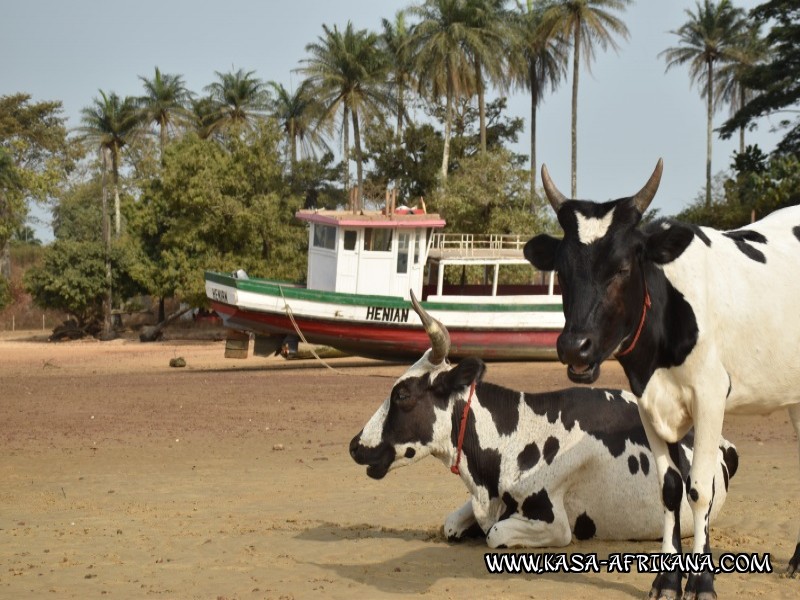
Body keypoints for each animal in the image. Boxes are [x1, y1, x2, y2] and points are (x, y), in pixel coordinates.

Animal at [350, 292, 736, 552]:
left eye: (402, 395)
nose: (355, 445)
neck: (514, 439)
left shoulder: (554, 525)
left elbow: (495, 534)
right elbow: (451, 524)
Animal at [524, 159, 800, 600]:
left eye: (622, 268)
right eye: (562, 273)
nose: (574, 347)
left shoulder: (710, 397)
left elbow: (700, 489)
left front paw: (702, 582)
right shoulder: (648, 402)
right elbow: (669, 489)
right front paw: (668, 580)